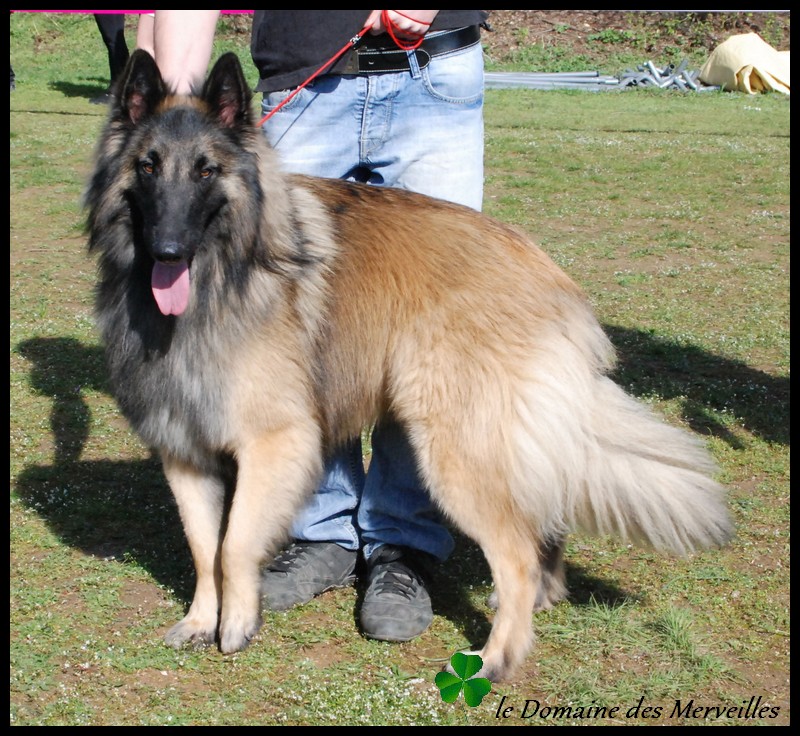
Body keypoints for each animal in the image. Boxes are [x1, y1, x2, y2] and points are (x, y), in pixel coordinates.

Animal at [86, 51, 732, 680]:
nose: (168, 250)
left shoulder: (274, 441)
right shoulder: (183, 448)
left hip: (454, 450)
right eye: (148, 166)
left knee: (517, 554)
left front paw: (239, 623)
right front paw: (201, 620)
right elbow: (203, 546)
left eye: (206, 171)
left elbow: (233, 544)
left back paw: (495, 659)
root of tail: (548, 273)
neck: (222, 279)